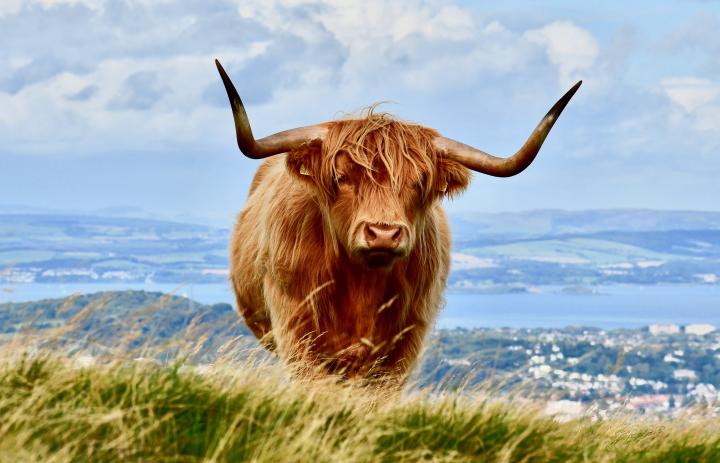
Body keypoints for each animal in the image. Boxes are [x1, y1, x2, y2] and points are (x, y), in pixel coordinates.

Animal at [217, 60, 584, 388]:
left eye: (420, 182)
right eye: (341, 177)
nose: (383, 233)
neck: (360, 285)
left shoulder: (403, 347)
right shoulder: (297, 333)